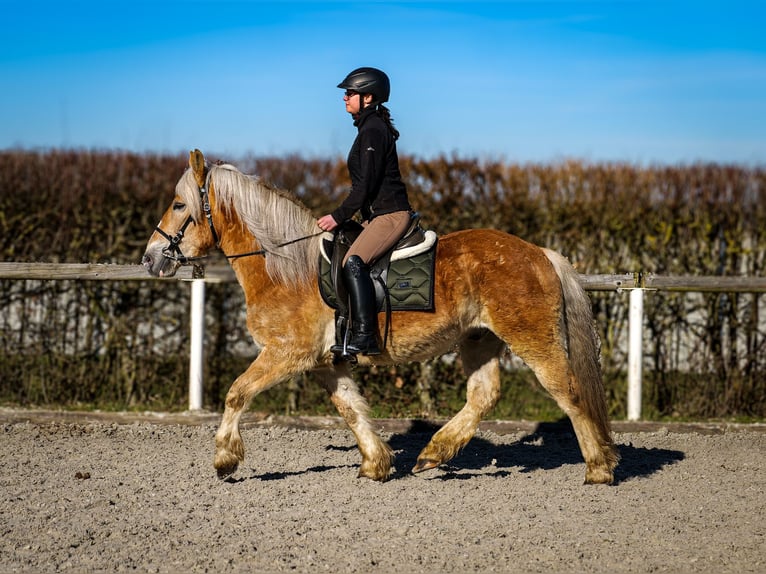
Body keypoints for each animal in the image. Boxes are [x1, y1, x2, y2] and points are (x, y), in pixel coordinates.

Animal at [144, 150, 620, 486]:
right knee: (484, 394)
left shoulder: (286, 354)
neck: (284, 266)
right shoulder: (327, 363)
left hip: (533, 338)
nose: (151, 258)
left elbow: (236, 394)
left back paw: (598, 468)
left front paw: (225, 459)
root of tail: (540, 252)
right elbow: (350, 409)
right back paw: (433, 453)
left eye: (179, 204)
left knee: (569, 393)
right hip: (478, 339)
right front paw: (376, 463)